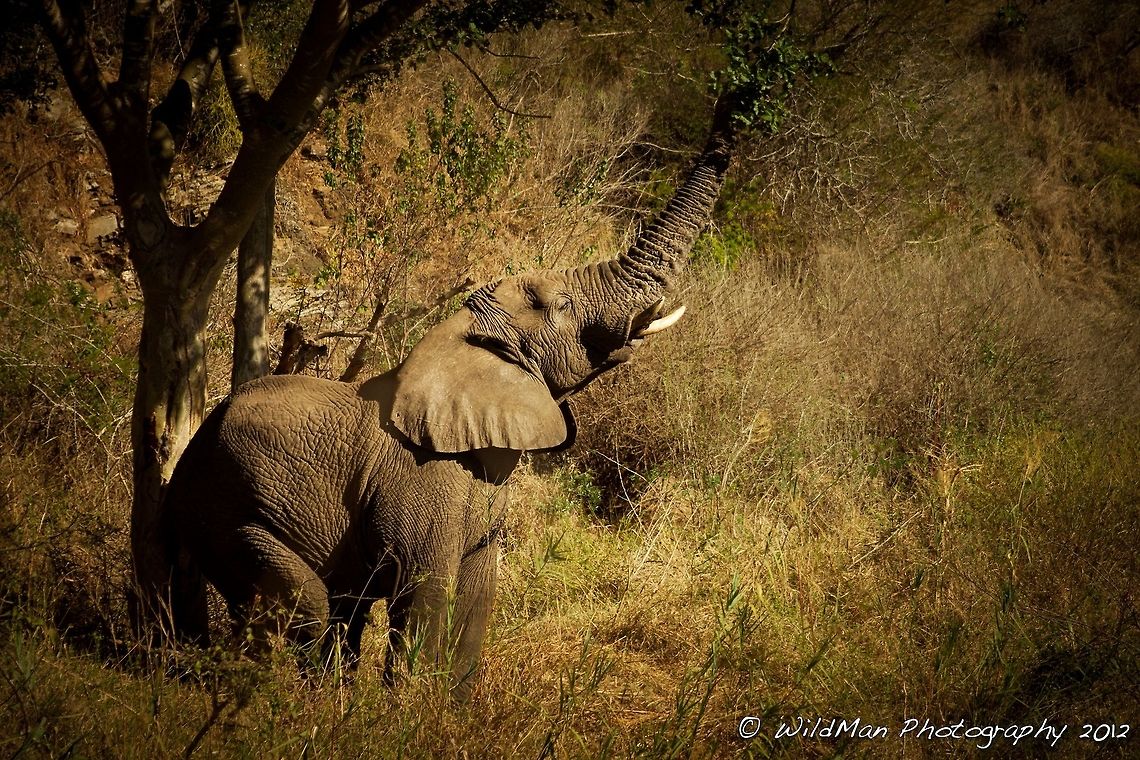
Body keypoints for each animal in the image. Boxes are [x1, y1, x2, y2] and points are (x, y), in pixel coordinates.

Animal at [163, 97, 738, 698]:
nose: (734, 105)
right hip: (224, 507)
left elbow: (480, 594)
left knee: (338, 606)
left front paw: (448, 707)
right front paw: (404, 707)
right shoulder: (422, 480)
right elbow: (426, 587)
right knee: (309, 606)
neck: (457, 337)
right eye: (557, 305)